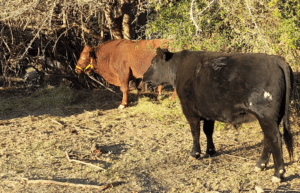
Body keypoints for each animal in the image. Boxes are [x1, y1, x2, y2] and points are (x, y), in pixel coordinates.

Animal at [143, 47, 292, 182]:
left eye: (153, 62)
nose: (143, 76)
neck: (179, 68)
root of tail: (275, 59)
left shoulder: (189, 110)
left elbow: (195, 132)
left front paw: (195, 154)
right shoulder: (209, 111)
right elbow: (208, 131)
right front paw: (210, 151)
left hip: (266, 116)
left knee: (275, 138)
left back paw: (278, 174)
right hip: (271, 118)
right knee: (268, 138)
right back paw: (260, 165)